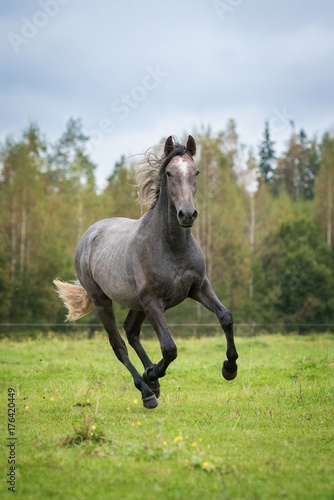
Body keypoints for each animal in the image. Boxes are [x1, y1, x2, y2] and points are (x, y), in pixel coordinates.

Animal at [53, 135, 239, 408]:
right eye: (169, 173)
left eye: (196, 172)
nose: (187, 214)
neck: (171, 246)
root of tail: (89, 235)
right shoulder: (152, 302)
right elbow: (169, 348)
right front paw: (152, 374)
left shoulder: (199, 287)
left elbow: (225, 316)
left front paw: (230, 368)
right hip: (103, 301)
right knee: (119, 345)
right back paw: (147, 390)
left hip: (136, 303)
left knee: (130, 331)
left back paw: (153, 382)